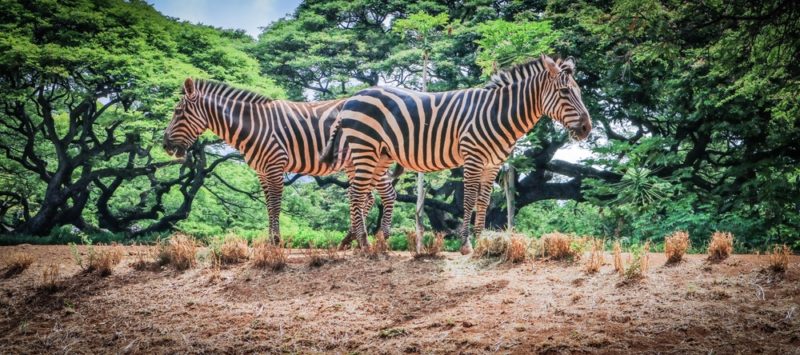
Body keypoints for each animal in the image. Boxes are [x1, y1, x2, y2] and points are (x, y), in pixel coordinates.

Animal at [165, 78, 396, 248]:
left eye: (178, 112)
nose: (165, 144)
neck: (254, 126)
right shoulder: (261, 171)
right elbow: (268, 205)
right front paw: (270, 241)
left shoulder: (275, 164)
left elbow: (275, 204)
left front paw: (276, 241)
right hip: (358, 160)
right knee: (367, 197)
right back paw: (351, 239)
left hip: (368, 155)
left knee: (387, 194)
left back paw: (381, 239)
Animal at [322, 55, 592, 254]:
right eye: (565, 92)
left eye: (579, 91)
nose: (587, 128)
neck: (498, 113)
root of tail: (351, 98)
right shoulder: (473, 157)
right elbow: (470, 199)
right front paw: (466, 245)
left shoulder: (493, 164)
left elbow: (483, 202)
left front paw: (482, 241)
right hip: (364, 148)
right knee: (356, 192)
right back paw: (363, 244)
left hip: (380, 155)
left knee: (367, 193)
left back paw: (373, 244)